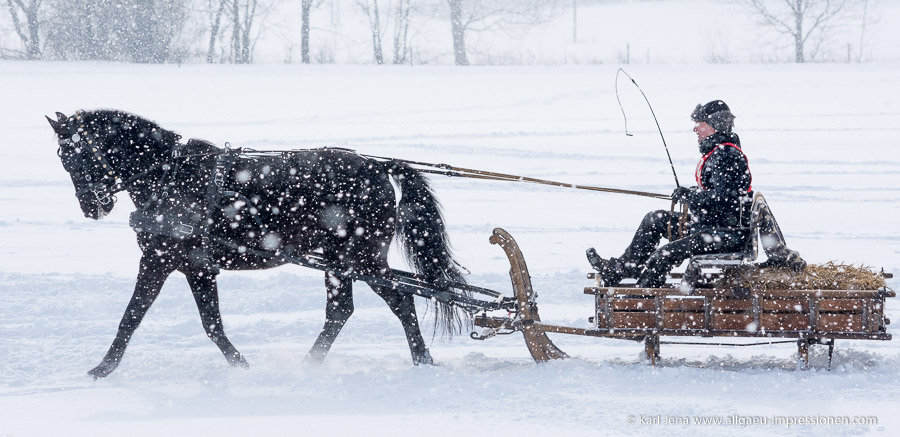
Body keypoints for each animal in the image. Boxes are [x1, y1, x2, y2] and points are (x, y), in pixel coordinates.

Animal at [45, 109, 468, 378]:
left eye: (75, 155)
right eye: (64, 158)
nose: (92, 208)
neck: (169, 175)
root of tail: (378, 167)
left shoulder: (159, 259)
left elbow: (132, 315)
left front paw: (103, 368)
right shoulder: (196, 266)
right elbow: (211, 323)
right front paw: (239, 364)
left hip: (360, 257)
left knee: (397, 303)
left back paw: (417, 359)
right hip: (341, 261)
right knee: (348, 310)